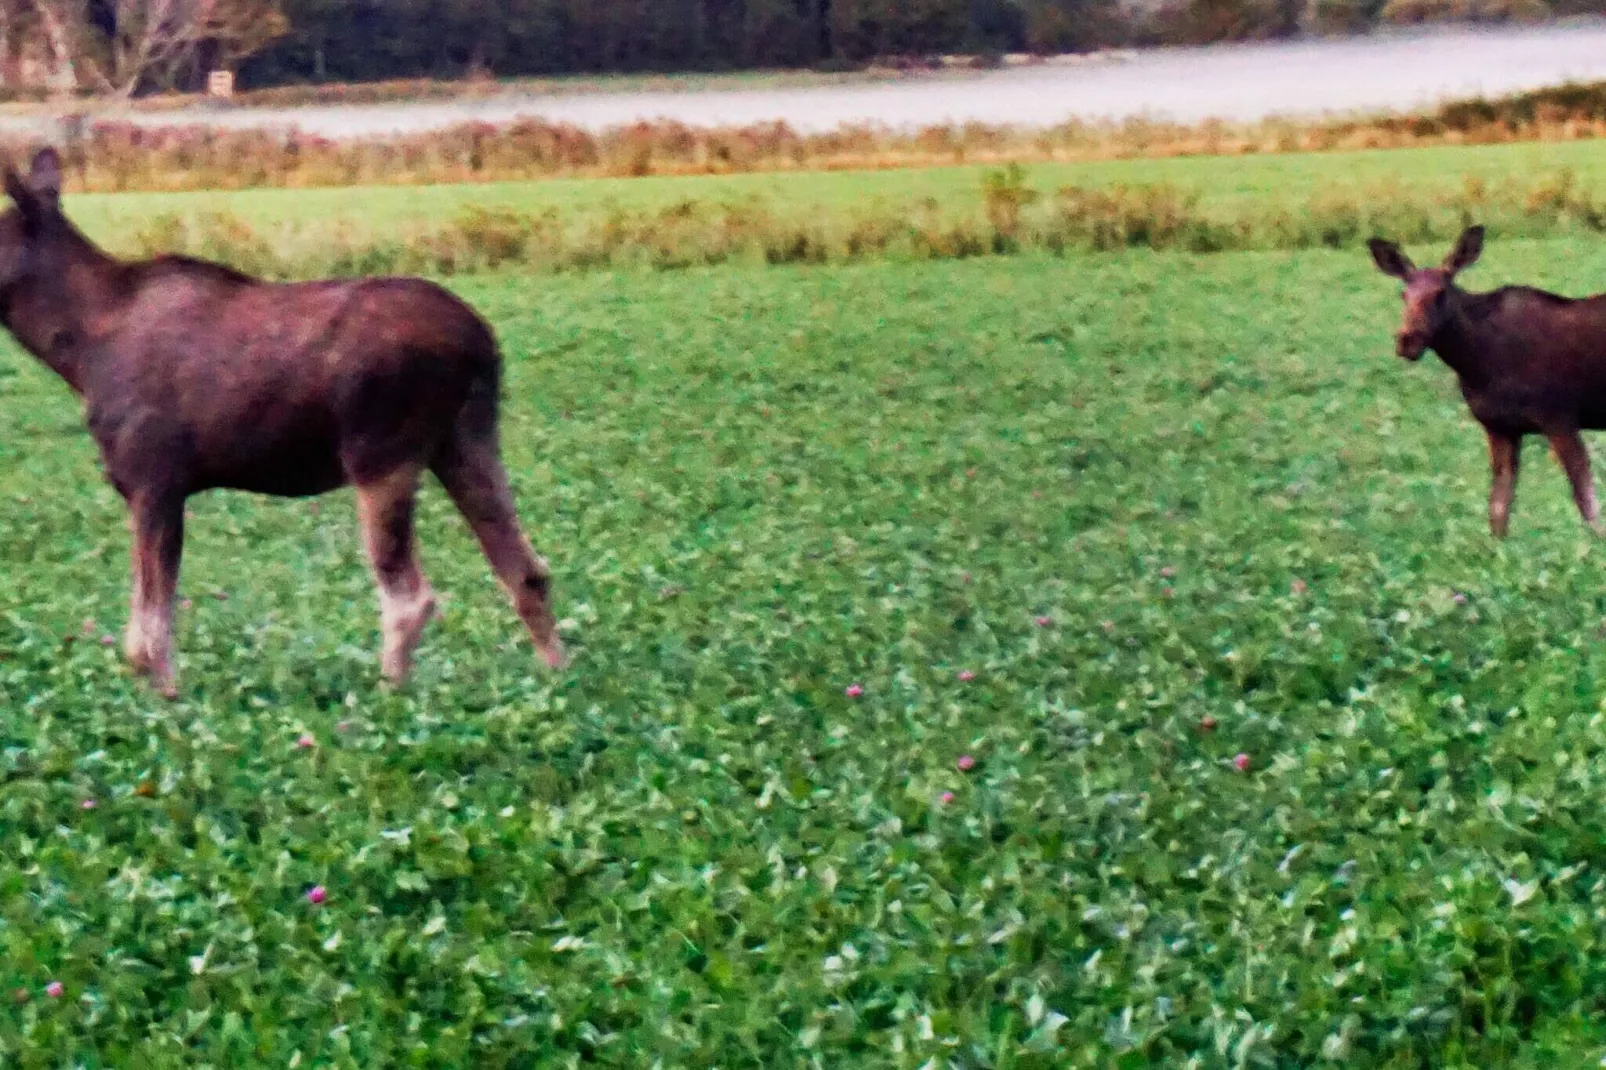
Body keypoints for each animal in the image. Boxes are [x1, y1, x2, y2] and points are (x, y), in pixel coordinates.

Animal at [0, 150, 565, 697]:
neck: (78, 353)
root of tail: (483, 343)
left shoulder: (154, 480)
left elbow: (149, 632)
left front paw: (170, 702)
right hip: (467, 440)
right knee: (527, 570)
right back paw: (559, 675)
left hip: (381, 453)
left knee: (410, 596)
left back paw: (389, 696)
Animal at [1368, 226, 1606, 543]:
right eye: (1403, 294)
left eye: (1440, 293)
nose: (1406, 340)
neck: (1477, 362)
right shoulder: (1498, 426)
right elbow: (1498, 509)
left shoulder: (1560, 416)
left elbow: (1587, 502)